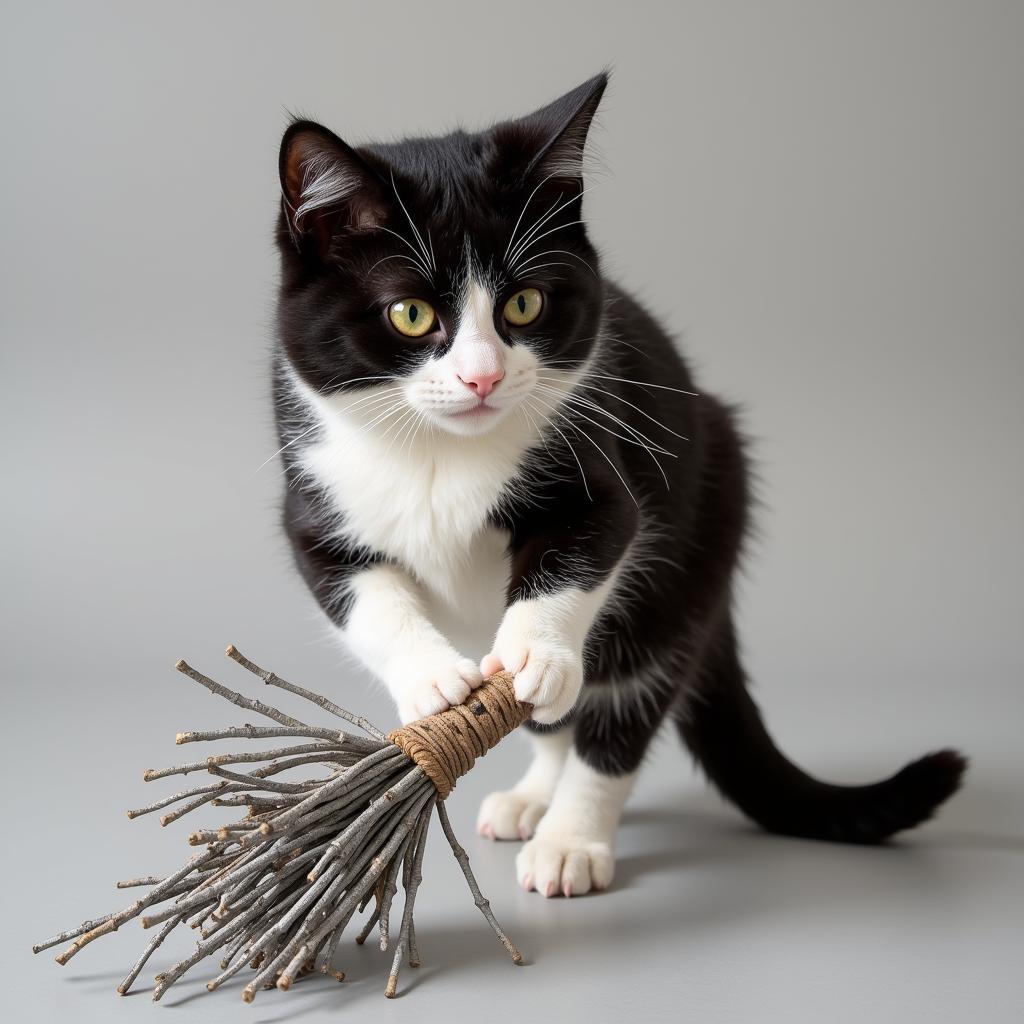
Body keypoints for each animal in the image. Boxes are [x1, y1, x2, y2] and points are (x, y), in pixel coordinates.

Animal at [268, 72, 962, 897]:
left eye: (524, 304)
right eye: (410, 314)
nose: (483, 377)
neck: (443, 454)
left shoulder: (600, 470)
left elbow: (591, 541)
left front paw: (535, 655)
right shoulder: (313, 494)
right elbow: (362, 593)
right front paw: (433, 681)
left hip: (693, 552)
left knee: (622, 708)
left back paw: (570, 837)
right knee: (555, 725)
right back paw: (533, 795)